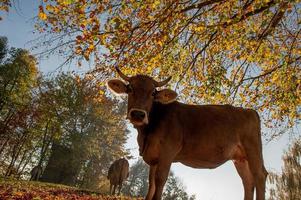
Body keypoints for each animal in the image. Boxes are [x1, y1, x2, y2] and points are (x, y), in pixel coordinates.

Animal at [106, 67, 266, 200]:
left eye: (153, 93)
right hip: (240, 158)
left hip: (253, 149)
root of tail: (248, 110)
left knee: (259, 176)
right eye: (130, 89)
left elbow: (160, 180)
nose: (138, 114)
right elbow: (151, 185)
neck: (147, 132)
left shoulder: (168, 153)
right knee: (248, 181)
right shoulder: (154, 158)